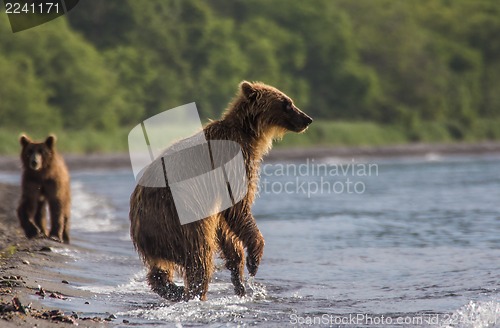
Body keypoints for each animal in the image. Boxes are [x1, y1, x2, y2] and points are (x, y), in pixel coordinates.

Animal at [130, 80, 312, 302]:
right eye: (286, 103)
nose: (307, 119)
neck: (249, 136)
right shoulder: (233, 166)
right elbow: (238, 207)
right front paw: (254, 257)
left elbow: (224, 224)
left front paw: (239, 271)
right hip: (178, 218)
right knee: (200, 255)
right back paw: (194, 292)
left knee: (161, 270)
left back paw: (173, 289)